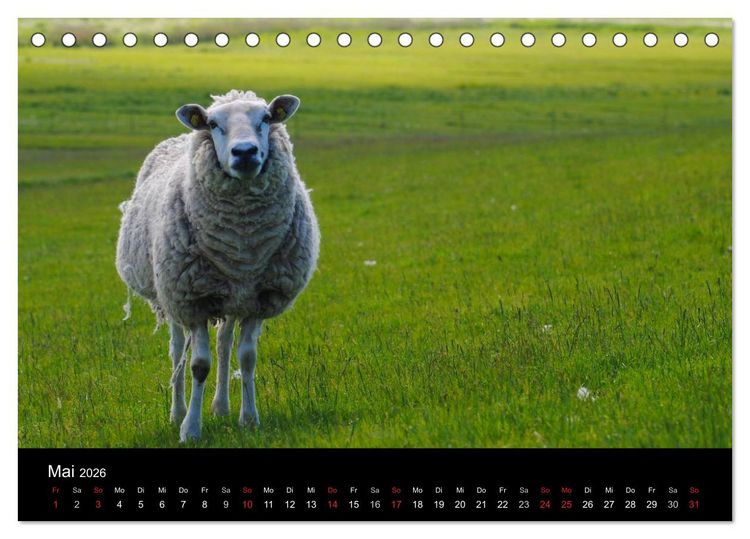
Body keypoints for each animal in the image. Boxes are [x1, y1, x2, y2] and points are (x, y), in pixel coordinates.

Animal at [115, 90, 320, 442]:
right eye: (212, 124)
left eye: (266, 118)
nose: (245, 152)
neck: (243, 245)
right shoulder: (193, 300)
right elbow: (199, 365)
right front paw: (191, 429)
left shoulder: (259, 300)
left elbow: (247, 358)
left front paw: (249, 419)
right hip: (172, 297)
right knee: (177, 351)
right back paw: (178, 411)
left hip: (232, 298)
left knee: (224, 345)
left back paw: (221, 406)